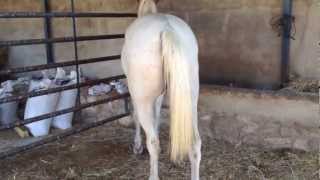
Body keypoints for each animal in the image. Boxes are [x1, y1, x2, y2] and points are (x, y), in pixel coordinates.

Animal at [121, 0, 201, 179]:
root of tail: (167, 28)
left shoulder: (136, 94)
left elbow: (136, 116)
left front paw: (137, 146)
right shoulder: (160, 96)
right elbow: (157, 114)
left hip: (143, 99)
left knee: (153, 142)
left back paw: (153, 174)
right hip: (190, 100)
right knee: (195, 144)